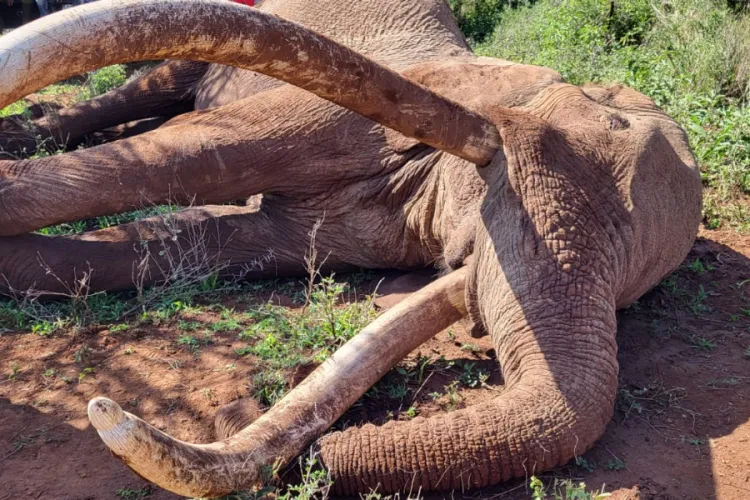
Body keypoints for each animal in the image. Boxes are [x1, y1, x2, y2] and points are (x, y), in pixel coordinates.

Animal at [0, 0, 702, 497]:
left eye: (631, 289)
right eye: (606, 124)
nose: (238, 405)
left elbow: (179, 243)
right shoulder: (422, 92)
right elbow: (198, 150)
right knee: (156, 94)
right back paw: (28, 130)